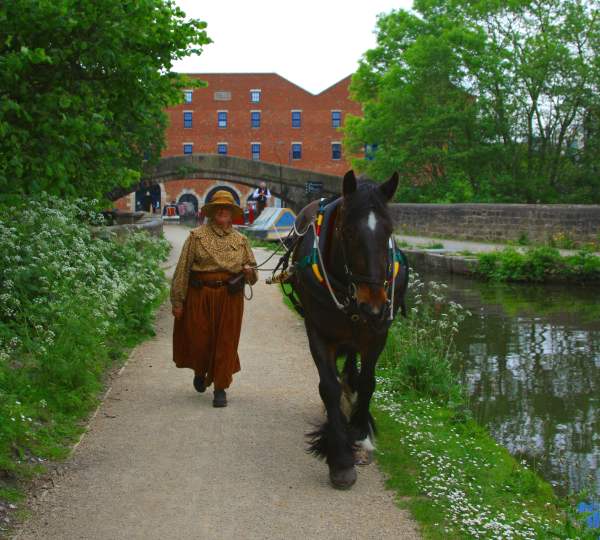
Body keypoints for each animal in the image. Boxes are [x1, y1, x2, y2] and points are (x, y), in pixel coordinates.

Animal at [284, 169, 408, 490]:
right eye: (348, 232)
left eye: (389, 231)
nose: (374, 306)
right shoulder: (316, 330)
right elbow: (328, 386)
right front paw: (340, 457)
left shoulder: (378, 334)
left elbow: (368, 383)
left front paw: (361, 435)